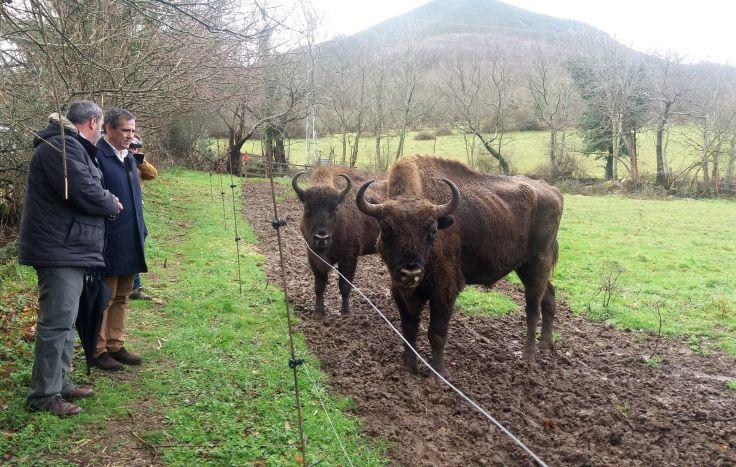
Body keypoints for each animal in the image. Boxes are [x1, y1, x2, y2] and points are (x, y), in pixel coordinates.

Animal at [292, 168, 388, 318]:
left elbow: (344, 286)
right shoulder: (313, 256)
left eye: (336, 208)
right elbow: (319, 285)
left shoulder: (349, 257)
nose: (321, 238)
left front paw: (345, 313)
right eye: (306, 206)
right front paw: (318, 313)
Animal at [356, 155, 564, 374]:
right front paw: (409, 366)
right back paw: (545, 346)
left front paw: (438, 372)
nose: (410, 274)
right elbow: (409, 327)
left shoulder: (445, 291)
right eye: (386, 229)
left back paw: (528, 358)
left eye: (433, 230)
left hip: (536, 264)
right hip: (527, 267)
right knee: (549, 296)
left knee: (533, 308)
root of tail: (552, 191)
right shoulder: (401, 291)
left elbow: (436, 333)